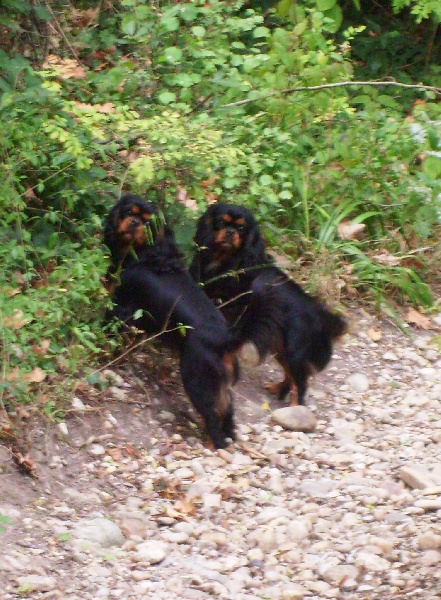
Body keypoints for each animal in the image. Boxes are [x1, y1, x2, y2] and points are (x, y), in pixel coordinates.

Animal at [103, 194, 273, 449]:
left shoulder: (122, 308)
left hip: (197, 379)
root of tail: (227, 337)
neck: (150, 254)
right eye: (129, 213)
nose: (134, 223)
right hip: (219, 385)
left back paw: (215, 443)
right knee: (227, 410)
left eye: (149, 222)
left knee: (211, 414)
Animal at [190, 203, 347, 405]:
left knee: (300, 384)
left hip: (294, 353)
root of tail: (321, 317)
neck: (225, 261)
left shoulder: (231, 309)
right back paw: (279, 390)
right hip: (282, 350)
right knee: (290, 376)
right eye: (220, 223)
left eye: (242, 228)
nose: (231, 232)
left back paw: (294, 407)